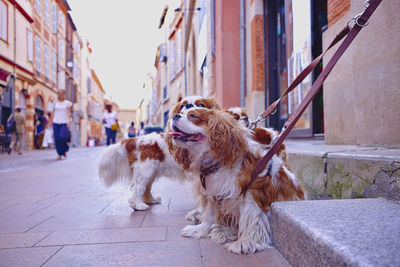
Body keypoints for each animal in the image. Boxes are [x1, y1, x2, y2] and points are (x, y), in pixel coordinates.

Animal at [168, 107, 304, 255]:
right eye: (181, 112)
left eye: (193, 116)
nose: (175, 116)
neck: (218, 162)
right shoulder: (214, 193)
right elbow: (209, 215)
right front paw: (200, 229)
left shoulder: (251, 194)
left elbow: (251, 220)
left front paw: (245, 242)